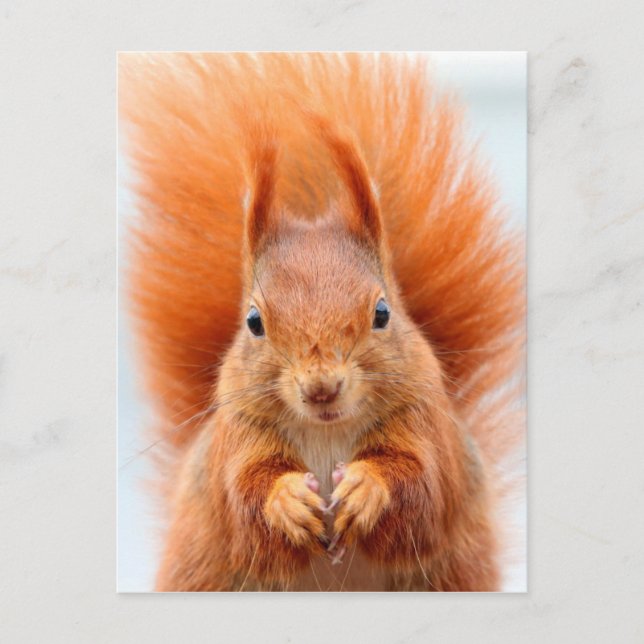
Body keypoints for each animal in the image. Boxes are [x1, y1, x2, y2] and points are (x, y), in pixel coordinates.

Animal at [119, 53, 525, 591]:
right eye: (253, 321)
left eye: (382, 313)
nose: (321, 388)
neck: (328, 432)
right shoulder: (237, 438)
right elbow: (245, 498)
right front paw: (286, 501)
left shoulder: (428, 427)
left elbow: (422, 488)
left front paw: (368, 487)